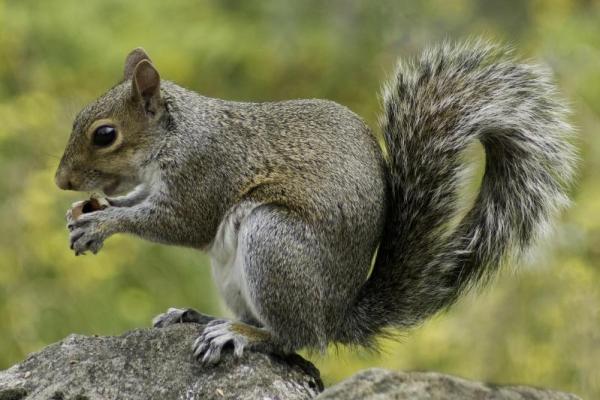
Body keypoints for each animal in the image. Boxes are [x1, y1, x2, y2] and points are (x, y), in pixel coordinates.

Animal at [55, 41, 576, 366]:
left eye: (105, 134)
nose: (62, 181)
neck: (175, 135)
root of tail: (336, 315)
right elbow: (141, 199)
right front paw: (89, 211)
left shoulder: (206, 172)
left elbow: (180, 222)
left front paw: (102, 223)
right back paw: (200, 316)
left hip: (274, 243)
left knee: (294, 339)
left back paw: (239, 334)